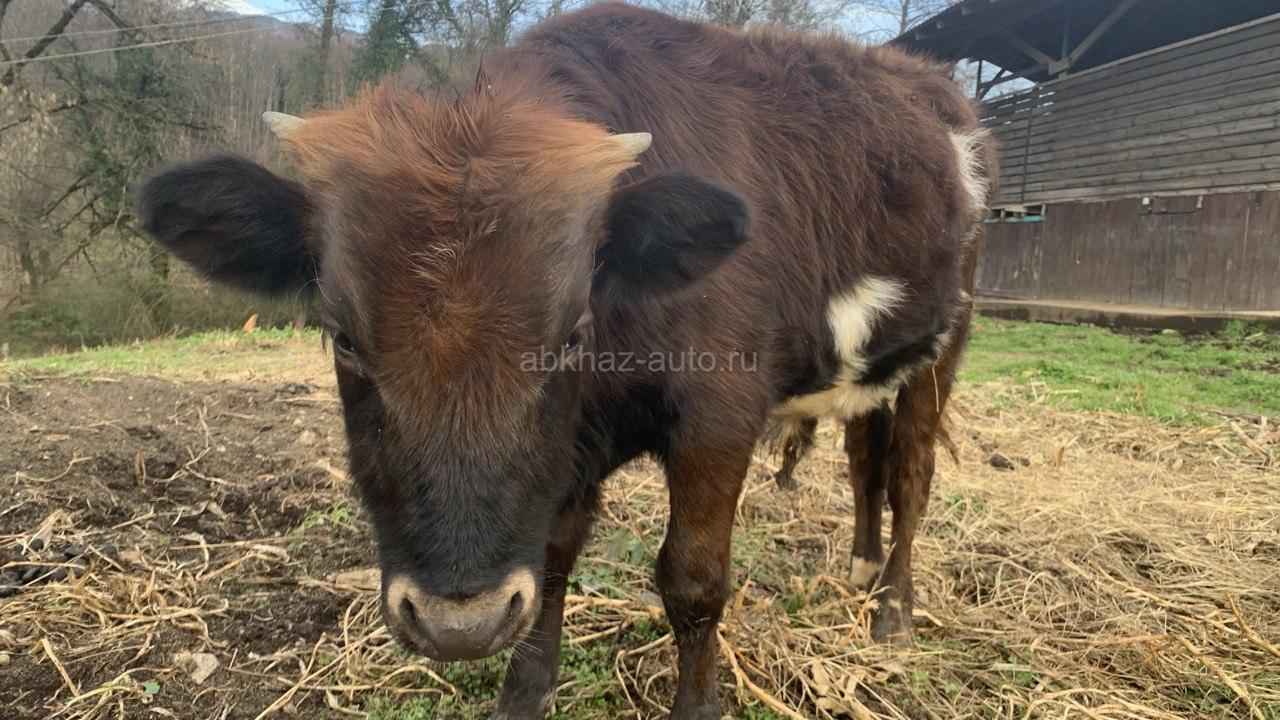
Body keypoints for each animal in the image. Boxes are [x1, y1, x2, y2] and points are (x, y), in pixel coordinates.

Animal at [136, 3, 994, 717]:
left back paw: (893, 606)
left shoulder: (718, 415)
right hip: (874, 368)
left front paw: (697, 705)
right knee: (864, 460)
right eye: (343, 336)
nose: (459, 623)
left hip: (945, 344)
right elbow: (550, 558)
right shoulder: (567, 450)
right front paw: (523, 693)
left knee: (911, 475)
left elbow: (693, 580)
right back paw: (862, 567)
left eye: (571, 331)